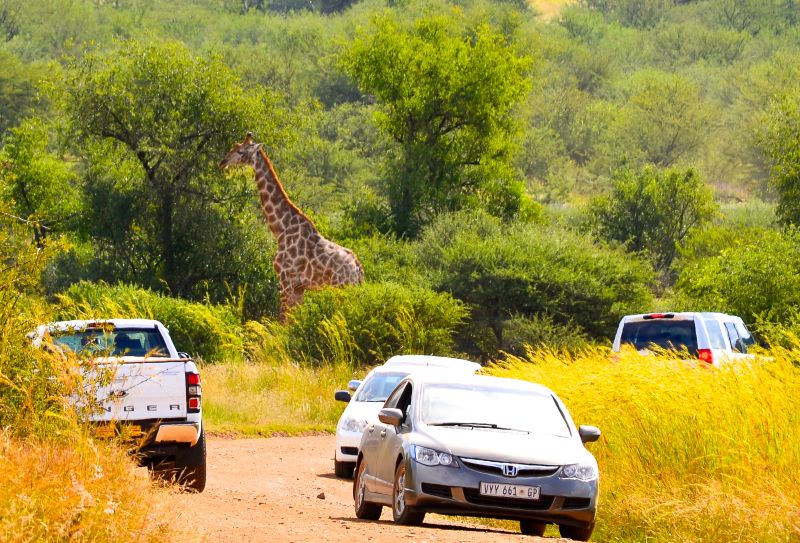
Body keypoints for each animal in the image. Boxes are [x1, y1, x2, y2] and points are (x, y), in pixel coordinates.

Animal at [222, 132, 366, 320]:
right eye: (233, 146)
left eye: (240, 151)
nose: (222, 161)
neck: (281, 229)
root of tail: (358, 270)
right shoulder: (299, 287)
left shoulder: (285, 280)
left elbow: (283, 320)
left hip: (341, 288)